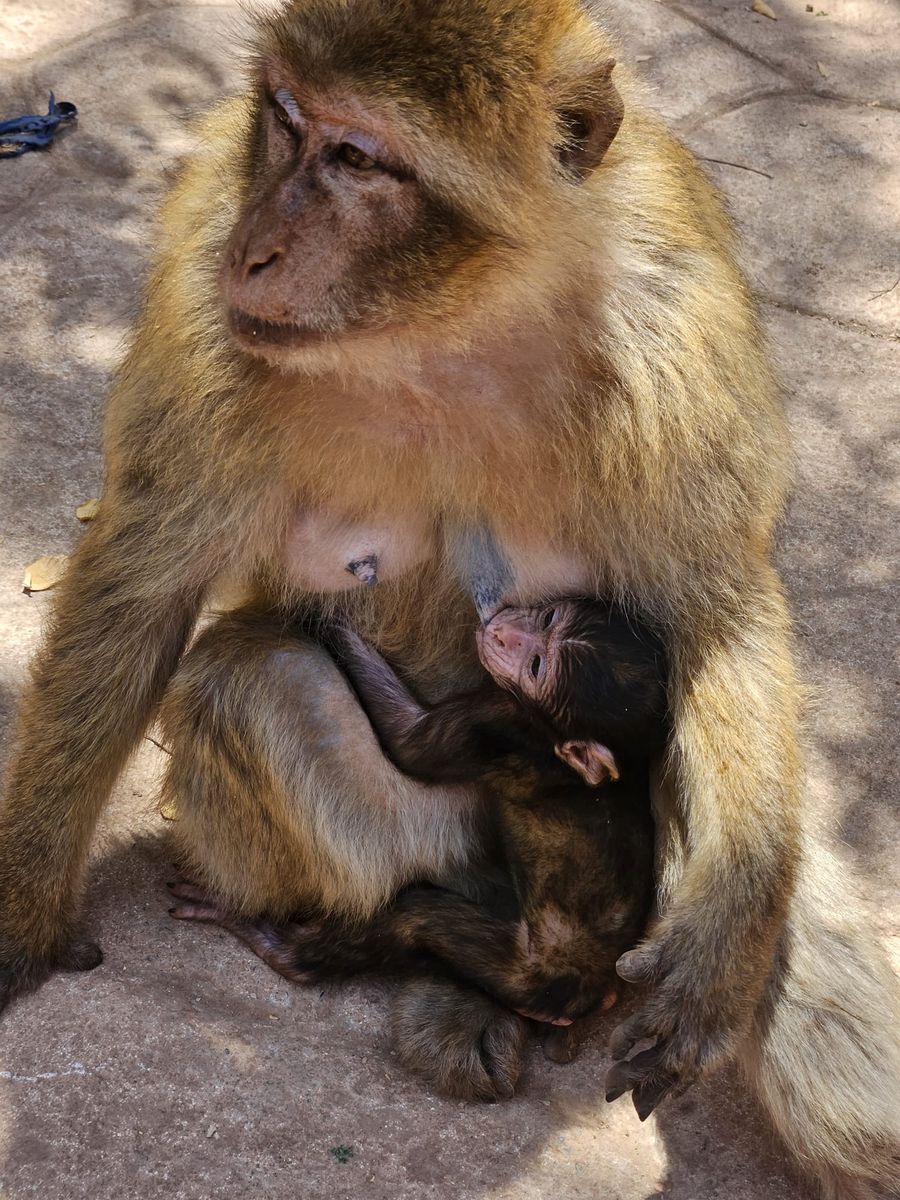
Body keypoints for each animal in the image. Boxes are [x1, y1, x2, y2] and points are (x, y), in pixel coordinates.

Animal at [168, 597, 663, 1058]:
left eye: (536, 668)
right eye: (548, 619)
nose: (506, 634)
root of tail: (579, 995)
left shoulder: (497, 724)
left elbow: (408, 739)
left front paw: (326, 617)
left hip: (522, 969)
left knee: (414, 919)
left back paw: (277, 943)